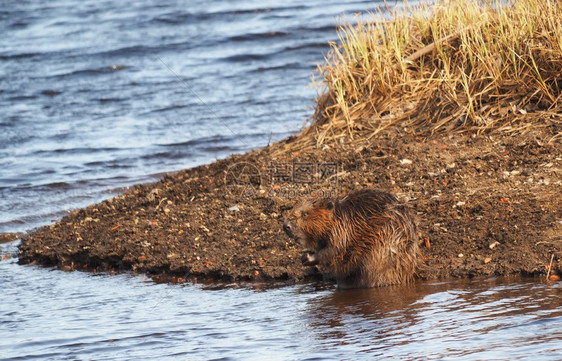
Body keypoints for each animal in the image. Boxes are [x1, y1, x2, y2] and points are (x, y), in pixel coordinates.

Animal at [282, 188, 418, 286]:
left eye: (305, 214)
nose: (286, 225)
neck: (342, 215)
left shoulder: (341, 231)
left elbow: (334, 250)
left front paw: (307, 257)